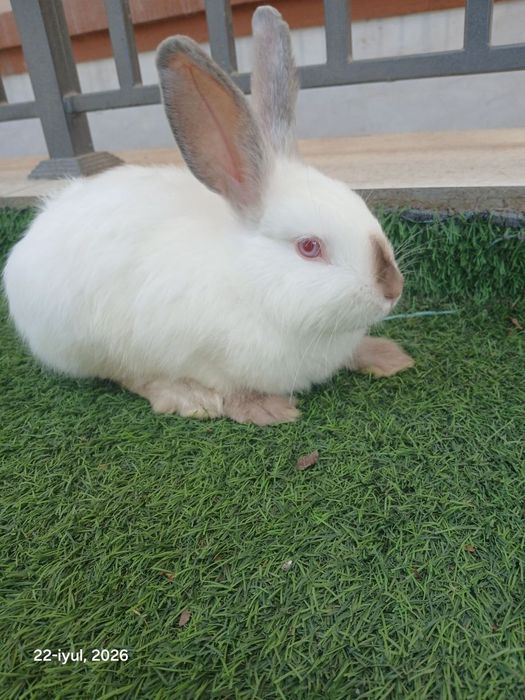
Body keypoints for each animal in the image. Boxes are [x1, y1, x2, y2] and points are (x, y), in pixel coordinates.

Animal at [3, 5, 414, 426]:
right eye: (309, 247)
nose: (393, 288)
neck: (250, 283)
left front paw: (387, 356)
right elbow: (223, 387)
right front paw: (263, 408)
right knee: (127, 375)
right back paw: (187, 396)